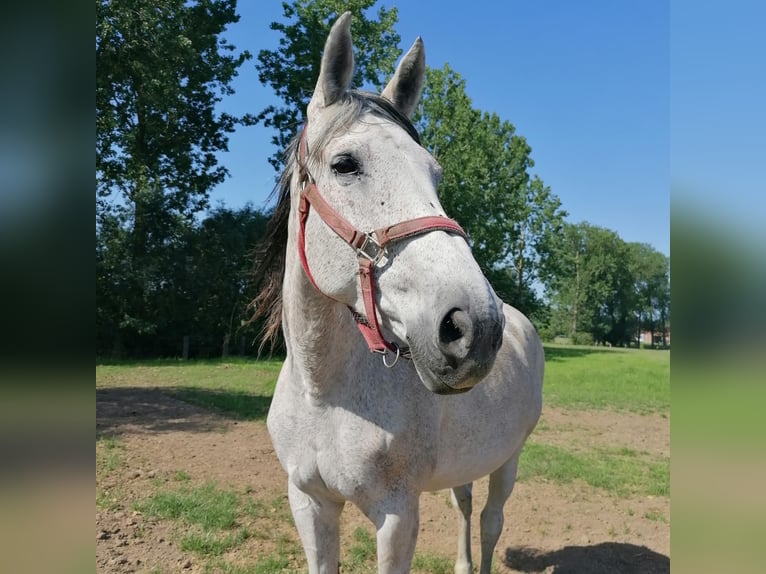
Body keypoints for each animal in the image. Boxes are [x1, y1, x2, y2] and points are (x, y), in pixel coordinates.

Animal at [250, 12, 544, 574]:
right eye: (345, 164)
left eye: (435, 173)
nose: (474, 326)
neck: (325, 394)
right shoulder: (309, 503)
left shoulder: (396, 515)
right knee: (465, 506)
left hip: (509, 459)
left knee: (491, 521)